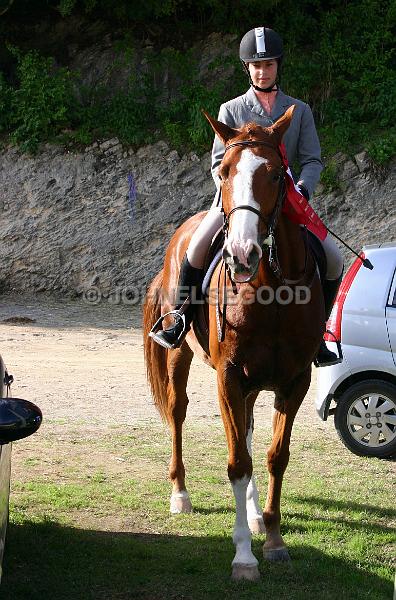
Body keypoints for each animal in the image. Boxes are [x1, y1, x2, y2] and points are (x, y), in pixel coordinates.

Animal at [142, 105, 324, 580]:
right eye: (223, 171)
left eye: (277, 174)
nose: (242, 254)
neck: (272, 291)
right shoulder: (228, 376)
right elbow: (237, 462)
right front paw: (244, 555)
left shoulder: (293, 380)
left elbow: (275, 454)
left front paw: (274, 539)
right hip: (181, 354)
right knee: (179, 411)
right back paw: (180, 494)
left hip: (255, 382)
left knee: (248, 428)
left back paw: (257, 514)